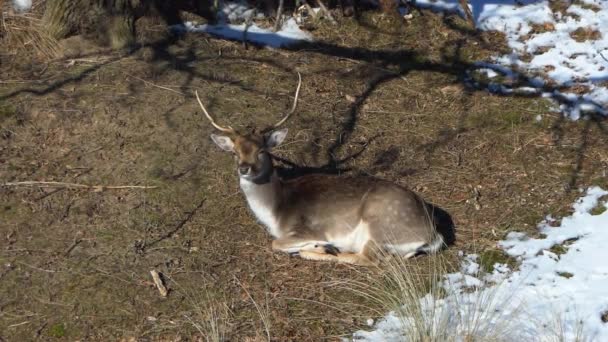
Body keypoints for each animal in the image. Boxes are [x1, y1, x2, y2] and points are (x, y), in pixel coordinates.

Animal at [197, 72, 448, 266]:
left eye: (261, 151)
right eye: (234, 152)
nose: (244, 168)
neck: (275, 211)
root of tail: (432, 233)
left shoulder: (303, 229)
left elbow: (275, 243)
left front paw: (320, 244)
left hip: (379, 226)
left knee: (365, 259)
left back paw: (326, 248)